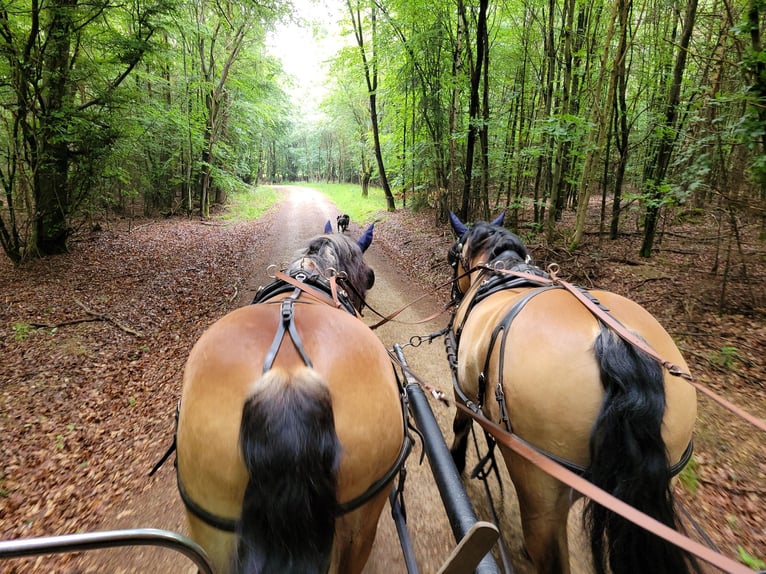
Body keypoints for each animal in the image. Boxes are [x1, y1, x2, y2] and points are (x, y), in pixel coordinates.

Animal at [450, 214, 704, 574]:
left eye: (453, 256)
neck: (501, 271)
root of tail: (614, 339)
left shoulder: (460, 383)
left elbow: (460, 425)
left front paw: (456, 461)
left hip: (538, 478)